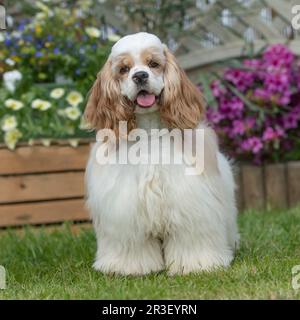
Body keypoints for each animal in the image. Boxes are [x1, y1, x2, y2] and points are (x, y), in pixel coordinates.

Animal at [84, 33, 239, 278]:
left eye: (153, 64)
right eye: (123, 69)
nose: (139, 76)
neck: (150, 135)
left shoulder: (189, 203)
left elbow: (192, 239)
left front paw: (197, 265)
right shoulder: (124, 210)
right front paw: (129, 267)